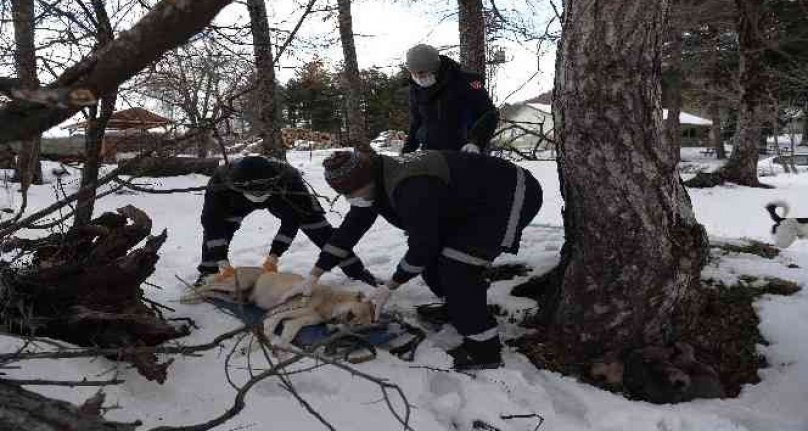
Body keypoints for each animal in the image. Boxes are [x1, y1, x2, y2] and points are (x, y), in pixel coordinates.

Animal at [181, 268, 374, 346]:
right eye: (351, 314)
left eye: (357, 326)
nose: (333, 326)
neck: (329, 301)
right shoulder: (282, 311)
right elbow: (271, 325)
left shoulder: (295, 322)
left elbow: (286, 336)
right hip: (237, 284)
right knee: (207, 286)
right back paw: (186, 295)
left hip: (236, 297)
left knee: (211, 293)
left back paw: (194, 298)